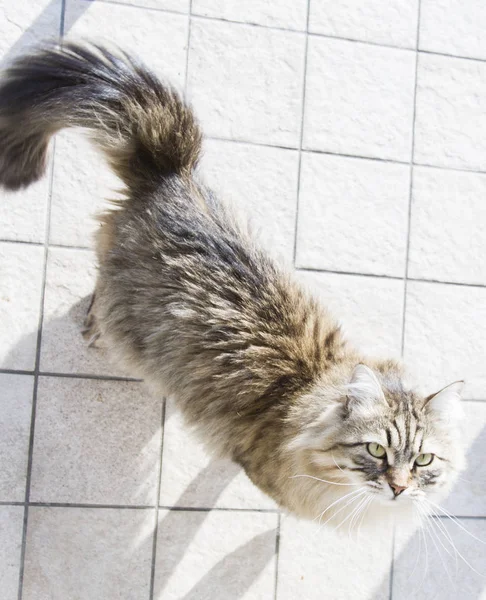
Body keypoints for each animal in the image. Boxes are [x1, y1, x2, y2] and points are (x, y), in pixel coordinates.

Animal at [0, 44, 466, 528]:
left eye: (424, 460)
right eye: (376, 450)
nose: (400, 487)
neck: (302, 389)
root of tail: (172, 174)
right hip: (123, 311)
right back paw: (93, 324)